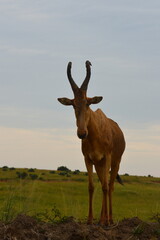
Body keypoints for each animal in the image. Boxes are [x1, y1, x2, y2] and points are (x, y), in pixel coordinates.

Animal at [58, 61, 125, 226]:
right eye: (73, 104)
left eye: (88, 103)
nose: (82, 133)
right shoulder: (88, 159)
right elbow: (91, 186)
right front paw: (90, 220)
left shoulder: (107, 157)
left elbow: (106, 187)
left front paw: (105, 222)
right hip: (99, 165)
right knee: (102, 184)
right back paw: (101, 218)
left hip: (115, 162)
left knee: (110, 186)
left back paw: (109, 219)